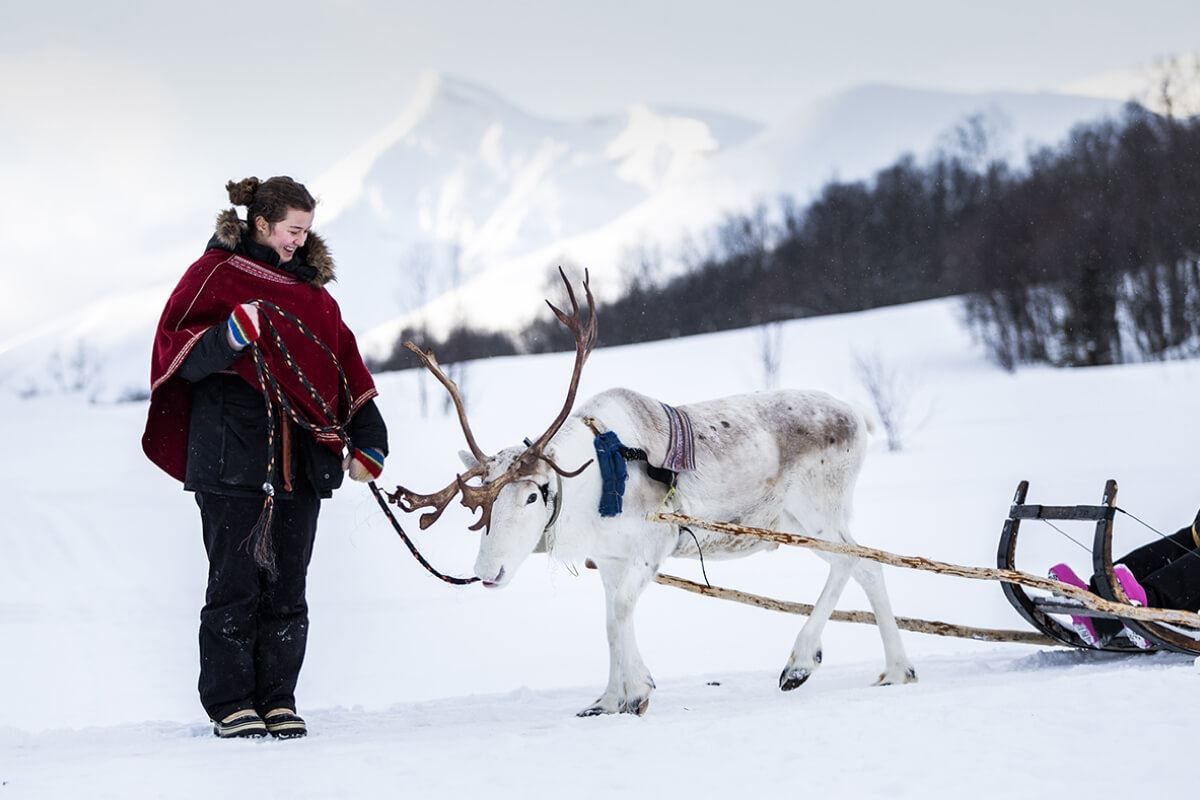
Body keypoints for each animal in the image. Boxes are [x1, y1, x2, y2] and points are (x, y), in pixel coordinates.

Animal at [388, 269, 917, 716]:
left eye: (533, 496)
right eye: (482, 507)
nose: (486, 572)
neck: (591, 489)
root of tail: (858, 417)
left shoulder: (653, 544)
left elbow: (620, 613)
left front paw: (637, 691)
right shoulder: (610, 560)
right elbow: (610, 621)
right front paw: (607, 699)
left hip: (817, 510)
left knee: (855, 560)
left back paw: (804, 663)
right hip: (793, 523)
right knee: (867, 566)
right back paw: (896, 669)